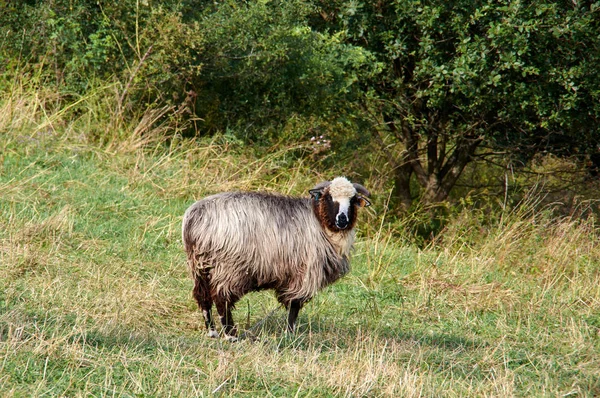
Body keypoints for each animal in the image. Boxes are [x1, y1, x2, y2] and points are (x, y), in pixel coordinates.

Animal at [183, 176, 370, 340]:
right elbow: (294, 306)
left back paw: (212, 332)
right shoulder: (304, 273)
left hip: (200, 265)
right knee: (222, 299)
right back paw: (231, 335)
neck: (319, 221)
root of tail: (196, 218)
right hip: (228, 268)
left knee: (203, 296)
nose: (342, 220)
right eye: (330, 197)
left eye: (353, 200)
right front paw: (290, 334)